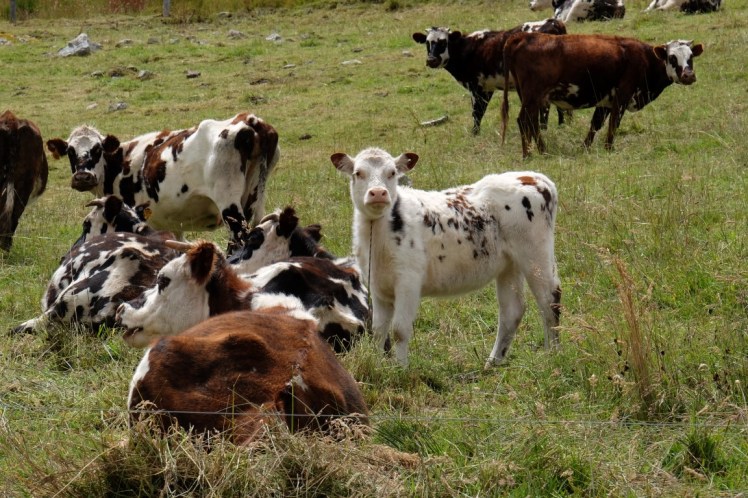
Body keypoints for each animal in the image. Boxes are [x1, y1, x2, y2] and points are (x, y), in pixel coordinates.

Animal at [46, 112, 280, 246]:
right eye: (70, 151)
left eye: (97, 149)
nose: (83, 177)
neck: (121, 162)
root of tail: (250, 120)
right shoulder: (172, 225)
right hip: (251, 199)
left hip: (229, 203)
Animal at [331, 147, 561, 368]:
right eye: (358, 173)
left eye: (393, 173)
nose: (378, 193)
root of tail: (535, 177)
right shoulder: (378, 285)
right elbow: (379, 330)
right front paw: (379, 366)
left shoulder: (408, 281)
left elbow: (399, 330)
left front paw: (401, 369)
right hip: (509, 265)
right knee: (512, 311)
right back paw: (492, 362)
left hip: (536, 254)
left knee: (550, 300)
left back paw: (552, 357)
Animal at [412, 19, 569, 135]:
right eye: (427, 43)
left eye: (444, 42)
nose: (431, 60)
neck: (467, 49)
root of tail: (552, 22)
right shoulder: (488, 87)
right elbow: (480, 111)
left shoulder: (476, 86)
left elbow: (476, 112)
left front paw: (474, 134)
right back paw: (561, 126)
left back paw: (545, 129)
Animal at [501, 34, 703, 157]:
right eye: (672, 58)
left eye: (691, 56)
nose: (688, 76)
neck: (645, 58)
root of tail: (524, 36)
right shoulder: (623, 95)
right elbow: (614, 124)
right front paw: (609, 148)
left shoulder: (606, 101)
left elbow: (596, 124)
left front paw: (585, 148)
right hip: (533, 95)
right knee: (524, 120)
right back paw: (532, 153)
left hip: (530, 98)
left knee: (531, 122)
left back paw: (538, 151)